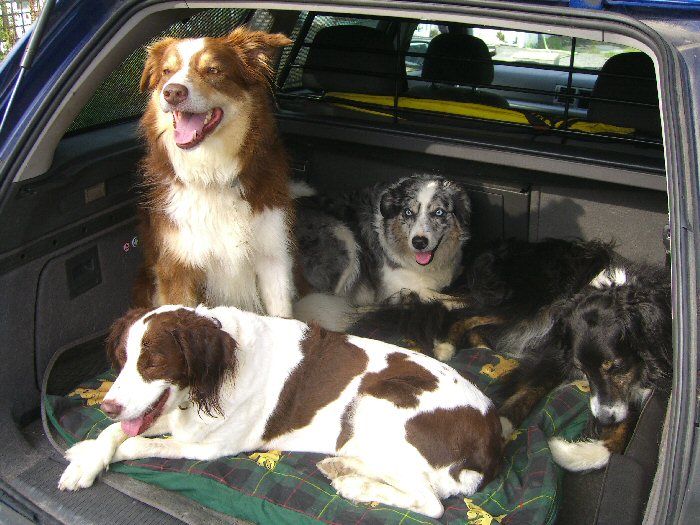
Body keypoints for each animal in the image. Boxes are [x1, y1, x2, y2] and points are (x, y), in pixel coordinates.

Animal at [57, 304, 500, 512]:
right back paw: (343, 469)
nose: (108, 405)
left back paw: (354, 485)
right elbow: (117, 432)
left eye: (152, 364)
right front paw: (85, 458)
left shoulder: (206, 447)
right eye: (122, 359)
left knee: (430, 501)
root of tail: (490, 441)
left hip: (381, 397)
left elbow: (133, 443)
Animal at [135, 28, 296, 318]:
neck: (212, 174)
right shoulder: (177, 266)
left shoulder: (273, 256)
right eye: (166, 72)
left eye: (213, 70)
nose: (172, 92)